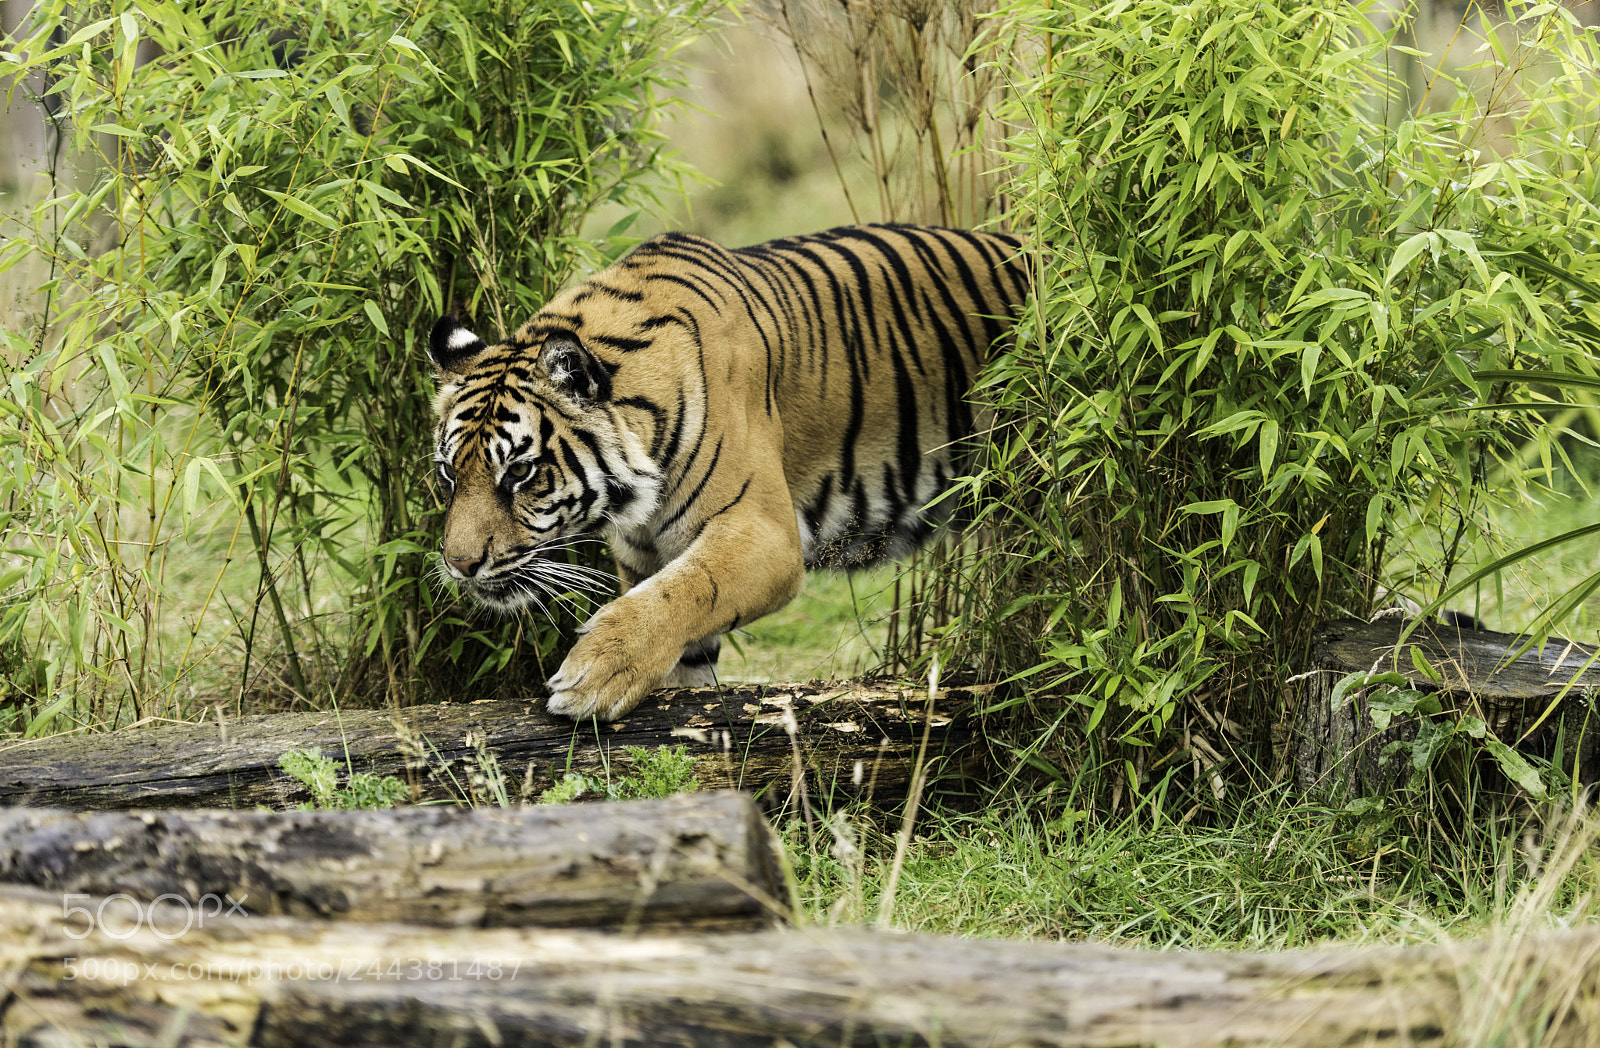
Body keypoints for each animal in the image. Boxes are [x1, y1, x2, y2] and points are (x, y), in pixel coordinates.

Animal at [427, 223, 1030, 721]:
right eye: (449, 475)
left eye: (520, 473)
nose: (459, 565)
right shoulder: (644, 558)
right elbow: (680, 633)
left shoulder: (765, 534)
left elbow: (682, 592)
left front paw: (594, 674)